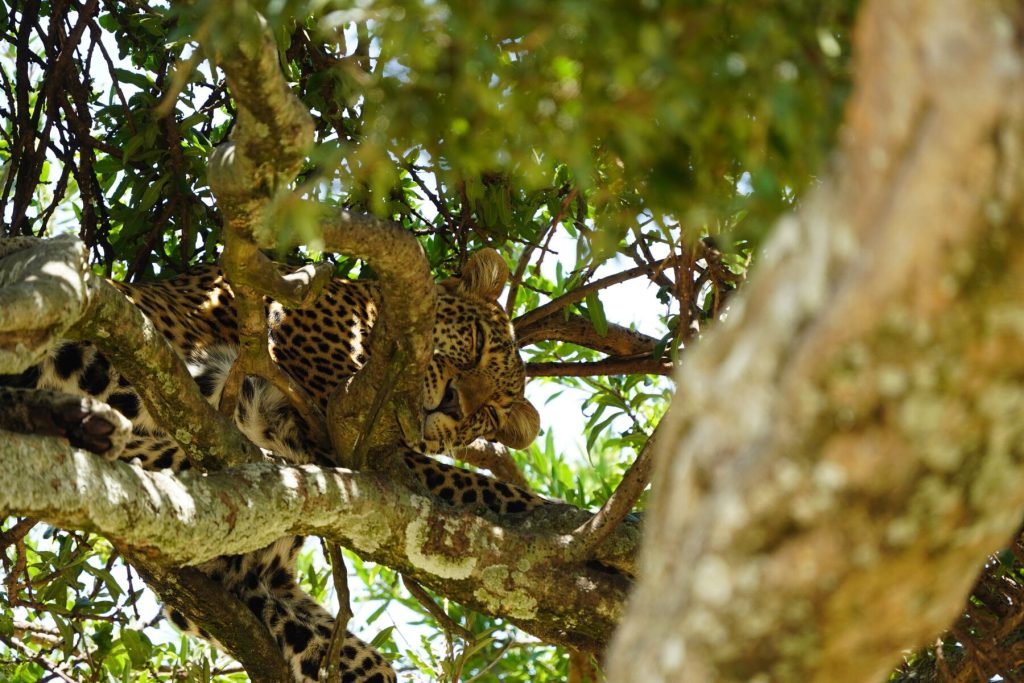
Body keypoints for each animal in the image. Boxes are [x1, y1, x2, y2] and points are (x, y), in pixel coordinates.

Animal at [2, 249, 544, 683]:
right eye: (476, 341)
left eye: (490, 412)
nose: (453, 402)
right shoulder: (341, 429)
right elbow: (478, 485)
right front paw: (547, 516)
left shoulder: (252, 581)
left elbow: (337, 645)